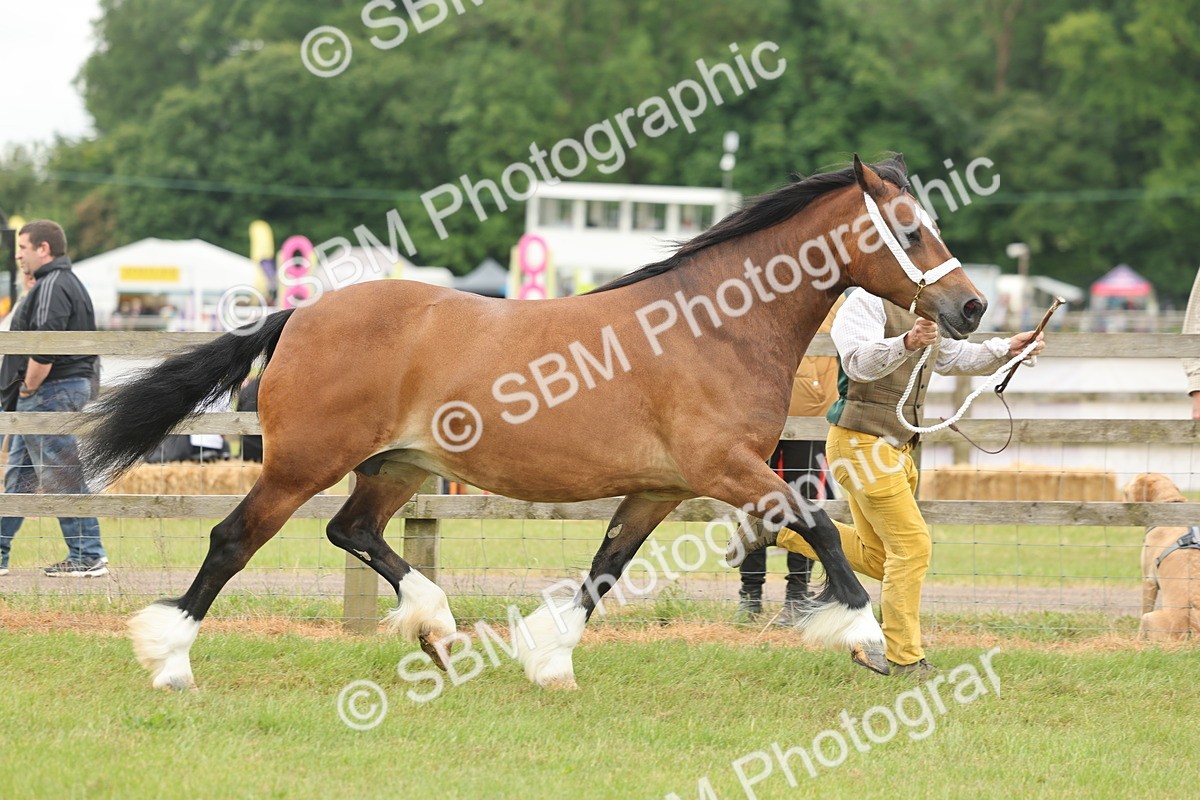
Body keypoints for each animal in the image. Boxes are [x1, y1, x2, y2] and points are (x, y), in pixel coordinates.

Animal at [80, 155, 985, 691]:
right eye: (910, 229)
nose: (972, 308)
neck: (714, 326)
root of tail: (298, 313)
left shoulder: (659, 489)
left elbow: (605, 569)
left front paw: (548, 659)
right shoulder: (727, 469)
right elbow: (822, 530)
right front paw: (867, 635)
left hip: (399, 465)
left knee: (352, 531)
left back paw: (437, 628)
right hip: (301, 463)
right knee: (233, 540)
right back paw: (170, 660)